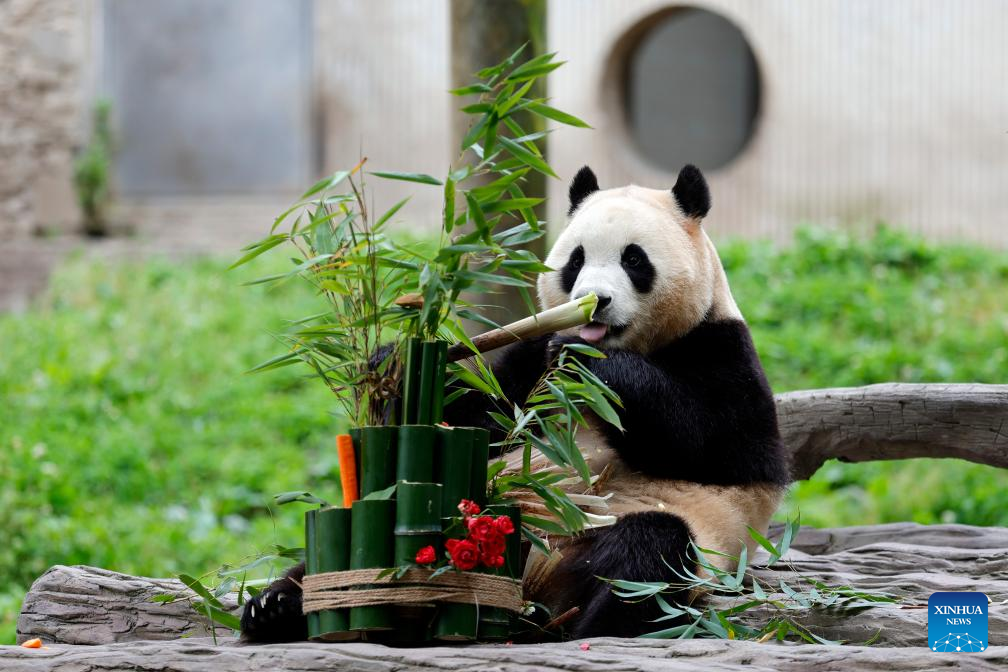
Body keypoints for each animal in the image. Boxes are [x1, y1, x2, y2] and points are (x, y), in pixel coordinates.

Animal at [239, 163, 790, 640]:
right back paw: (277, 606)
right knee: (354, 540)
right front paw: (391, 367)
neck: (631, 344)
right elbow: (477, 423)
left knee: (649, 558)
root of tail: (532, 585)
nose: (595, 302)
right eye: (576, 261)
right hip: (475, 513)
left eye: (634, 260)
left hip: (629, 542)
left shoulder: (721, 350)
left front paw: (587, 362)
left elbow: (717, 445)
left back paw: (588, 626)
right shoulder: (527, 365)